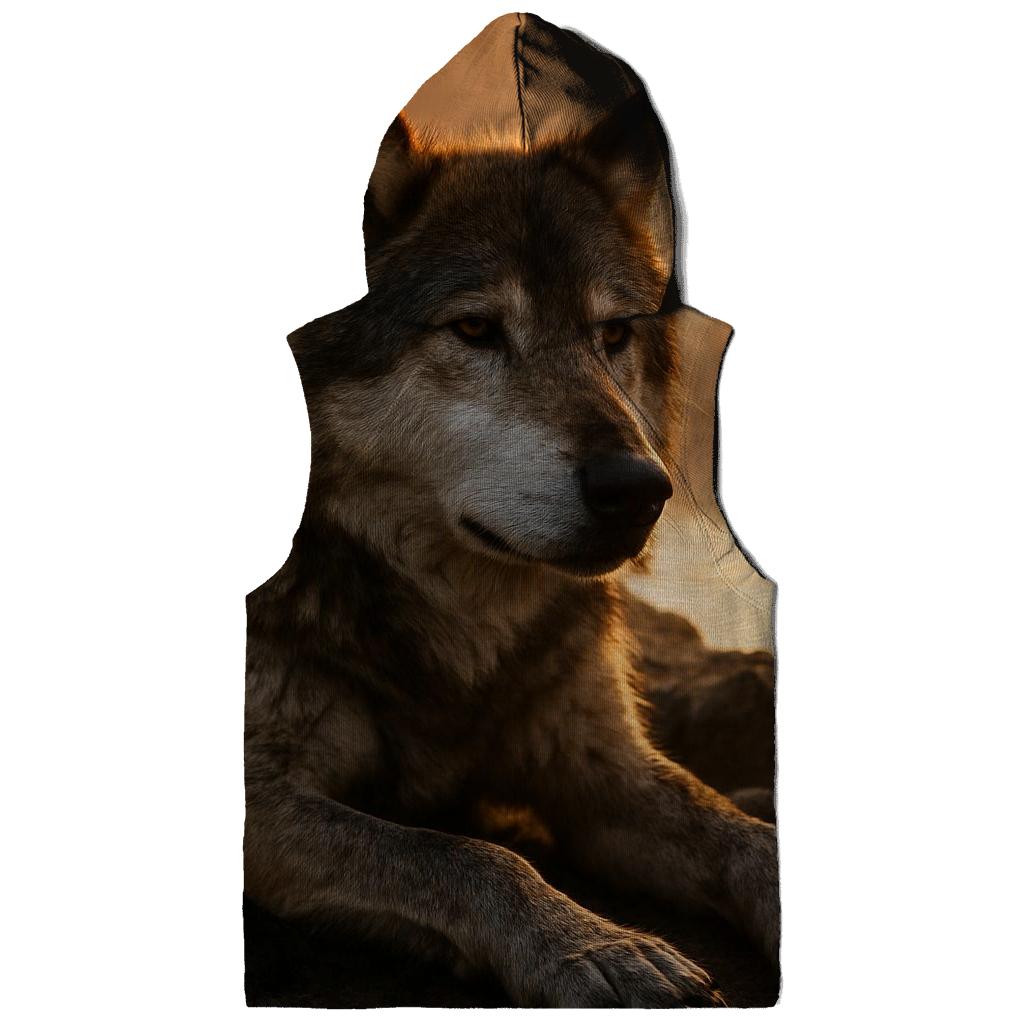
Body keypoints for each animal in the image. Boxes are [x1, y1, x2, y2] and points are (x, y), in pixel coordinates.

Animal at [245, 14, 779, 1009]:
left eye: (612, 334)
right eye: (476, 329)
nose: (638, 489)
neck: (458, 641)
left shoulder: (601, 769)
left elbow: (741, 835)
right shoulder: (260, 792)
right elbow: (472, 857)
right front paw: (598, 949)